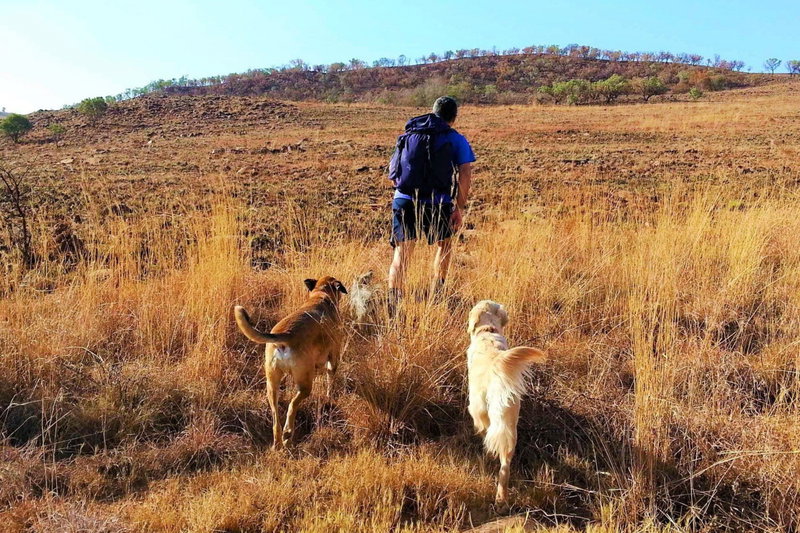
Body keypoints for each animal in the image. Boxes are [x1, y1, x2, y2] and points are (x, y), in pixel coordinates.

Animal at [234, 276, 347, 450]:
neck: (321, 294)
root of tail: (285, 336)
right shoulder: (333, 356)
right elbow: (331, 380)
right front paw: (330, 396)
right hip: (305, 384)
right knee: (292, 406)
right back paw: (288, 433)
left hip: (272, 384)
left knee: (275, 418)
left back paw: (278, 442)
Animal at [466, 300, 547, 504]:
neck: (488, 331)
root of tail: (498, 367)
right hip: (510, 424)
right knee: (505, 465)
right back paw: (502, 497)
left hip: (479, 407)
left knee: (485, 431)